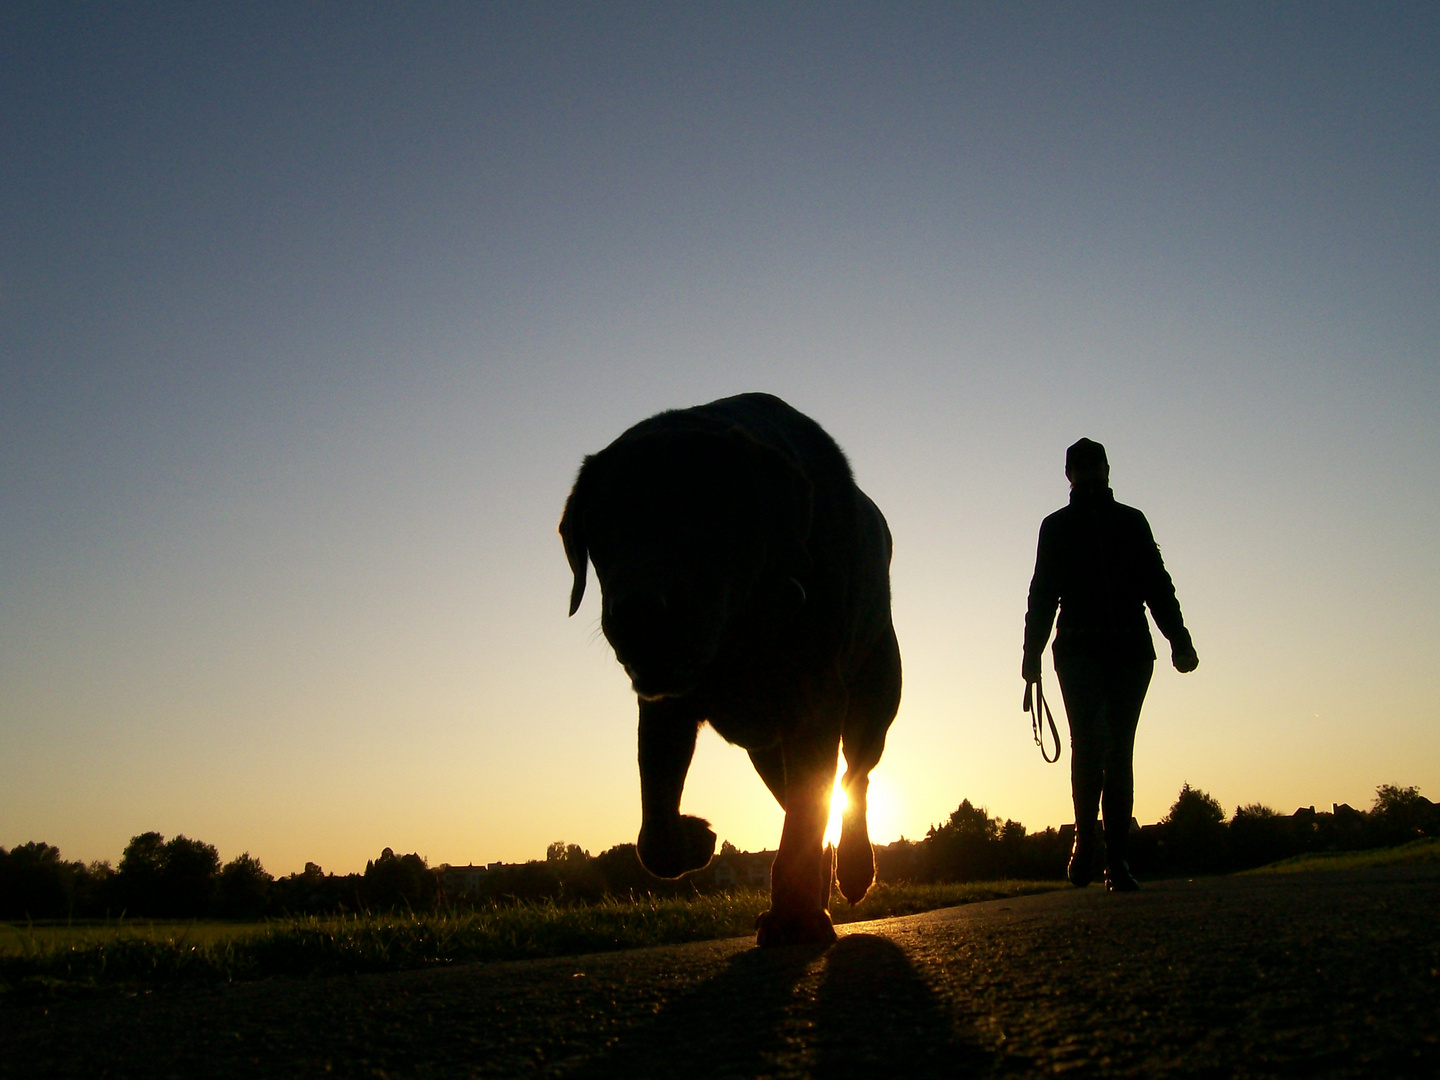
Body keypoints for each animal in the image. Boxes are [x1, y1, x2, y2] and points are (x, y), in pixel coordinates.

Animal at [558, 394, 898, 944]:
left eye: (703, 517)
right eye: (602, 528)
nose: (636, 615)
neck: (741, 635)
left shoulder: (815, 698)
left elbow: (809, 815)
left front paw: (793, 918)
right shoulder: (665, 709)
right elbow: (655, 823)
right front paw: (696, 839)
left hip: (877, 696)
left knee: (855, 780)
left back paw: (851, 868)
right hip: (766, 752)